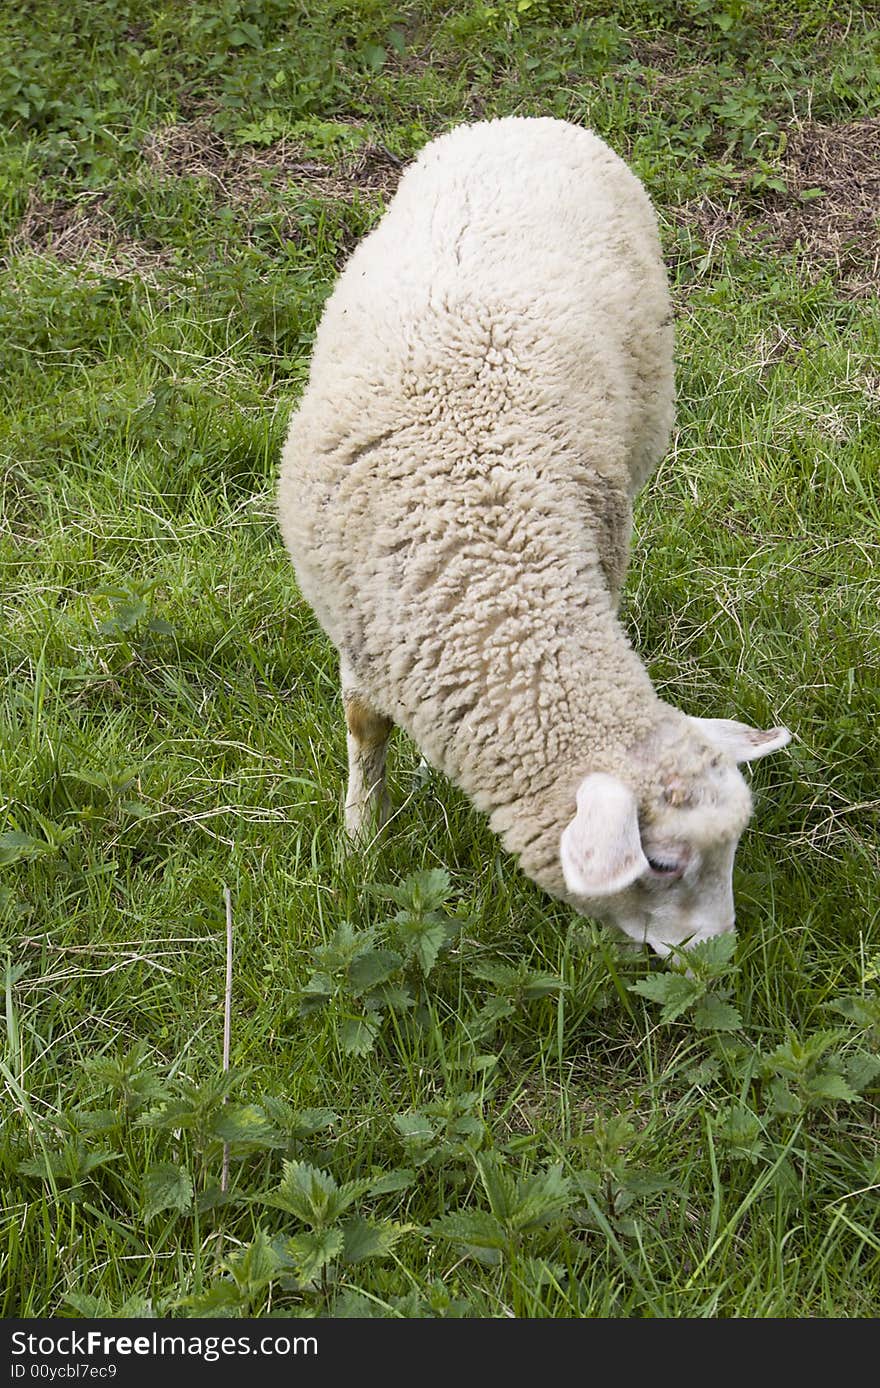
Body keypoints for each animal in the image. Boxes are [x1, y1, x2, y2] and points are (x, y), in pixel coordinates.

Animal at [276, 116, 788, 954]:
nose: (718, 961)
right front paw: (360, 842)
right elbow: (364, 730)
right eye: (664, 863)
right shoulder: (361, 625)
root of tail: (530, 120)